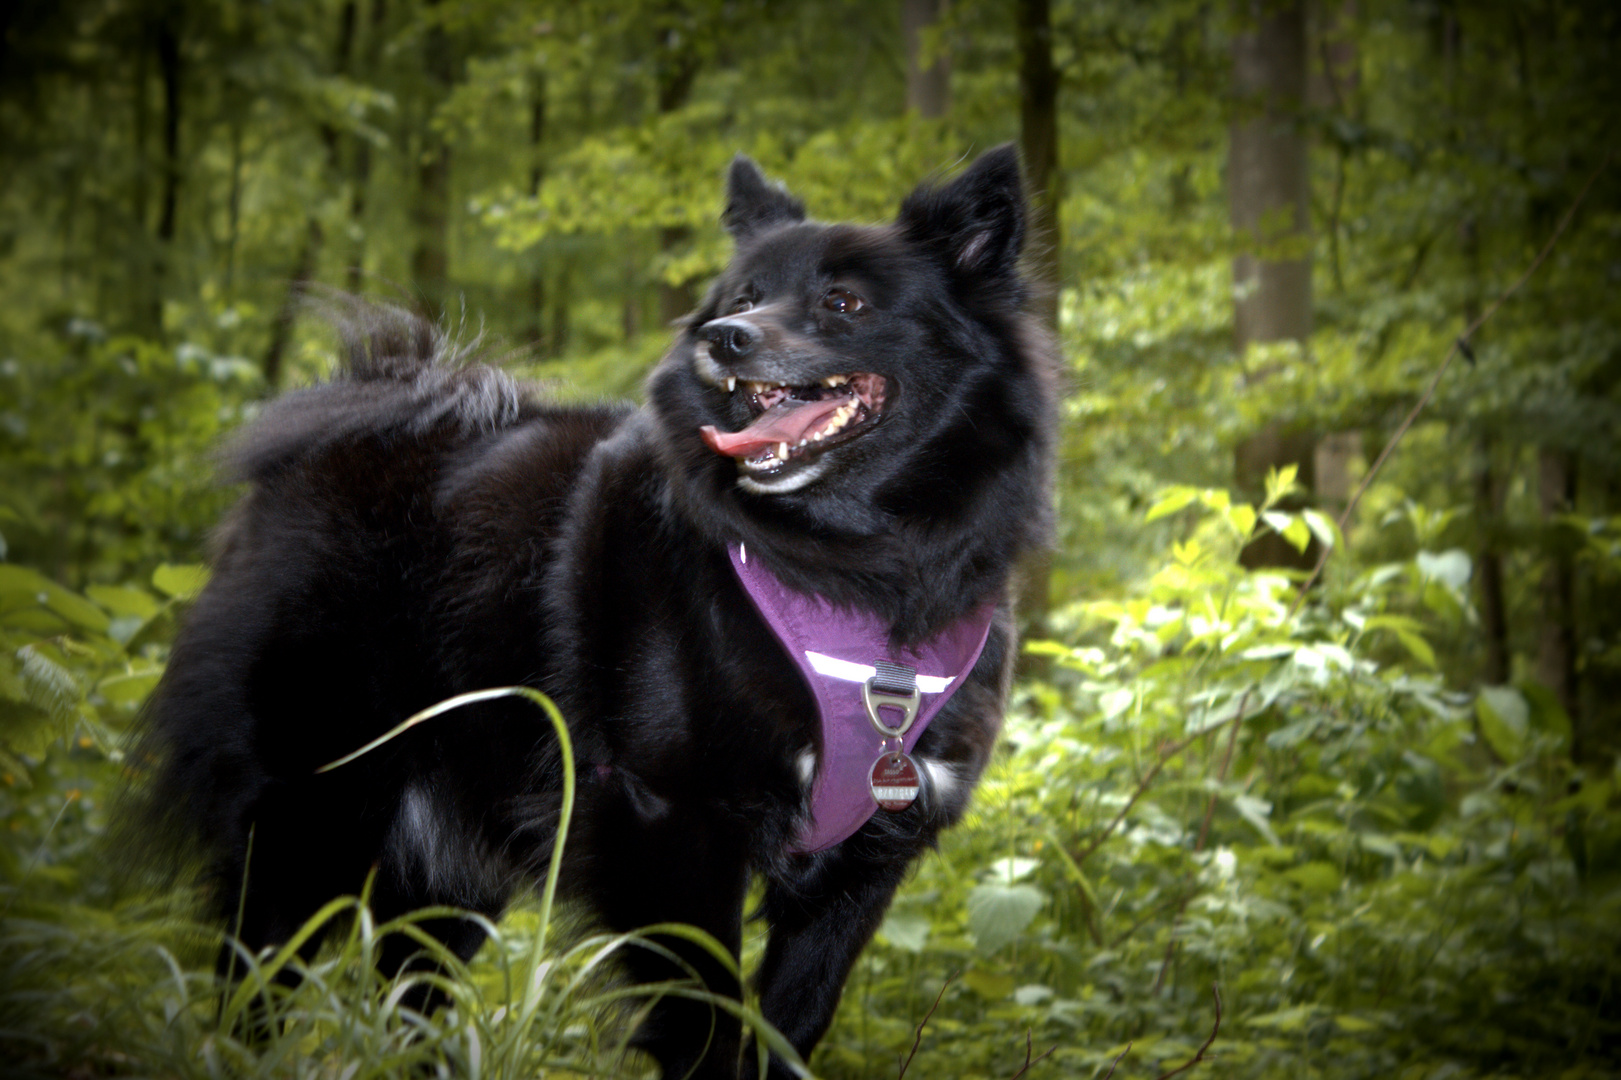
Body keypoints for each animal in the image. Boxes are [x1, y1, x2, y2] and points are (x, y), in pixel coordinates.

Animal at [136, 145, 1050, 1076]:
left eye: (843, 303)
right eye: (744, 298)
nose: (724, 339)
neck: (844, 571)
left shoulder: (865, 862)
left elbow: (790, 1024)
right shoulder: (671, 824)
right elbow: (707, 1023)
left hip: (454, 852)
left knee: (408, 991)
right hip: (311, 805)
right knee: (257, 973)